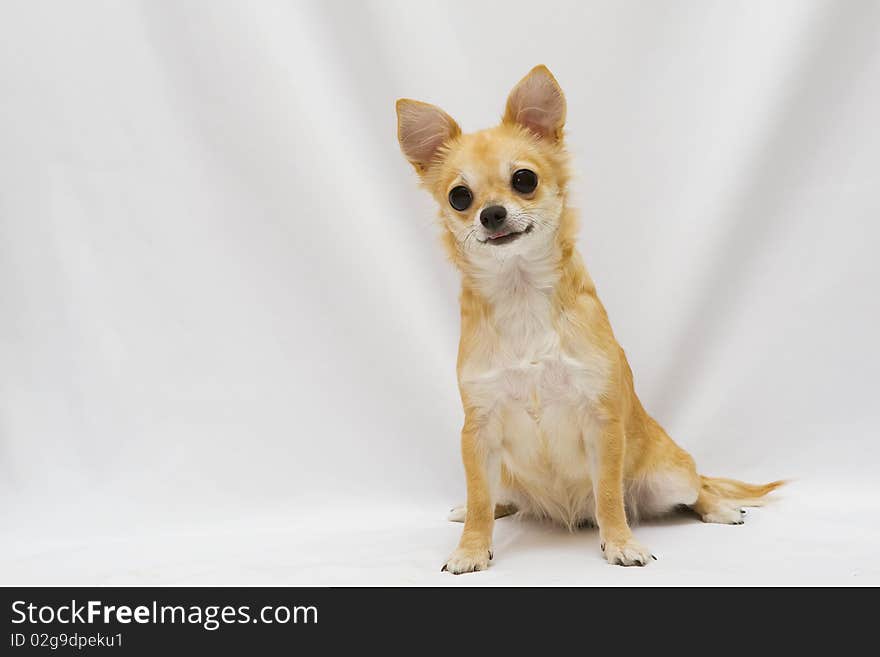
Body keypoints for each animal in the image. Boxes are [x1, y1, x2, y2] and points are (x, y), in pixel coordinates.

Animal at [396, 64, 780, 572]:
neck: (520, 294)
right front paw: (472, 547)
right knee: (500, 494)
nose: (491, 213)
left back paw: (718, 507)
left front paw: (620, 542)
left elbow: (609, 496)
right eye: (459, 197)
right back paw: (493, 507)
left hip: (669, 476)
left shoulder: (602, 423)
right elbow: (479, 494)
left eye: (524, 180)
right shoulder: (478, 431)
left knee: (695, 487)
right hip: (509, 472)